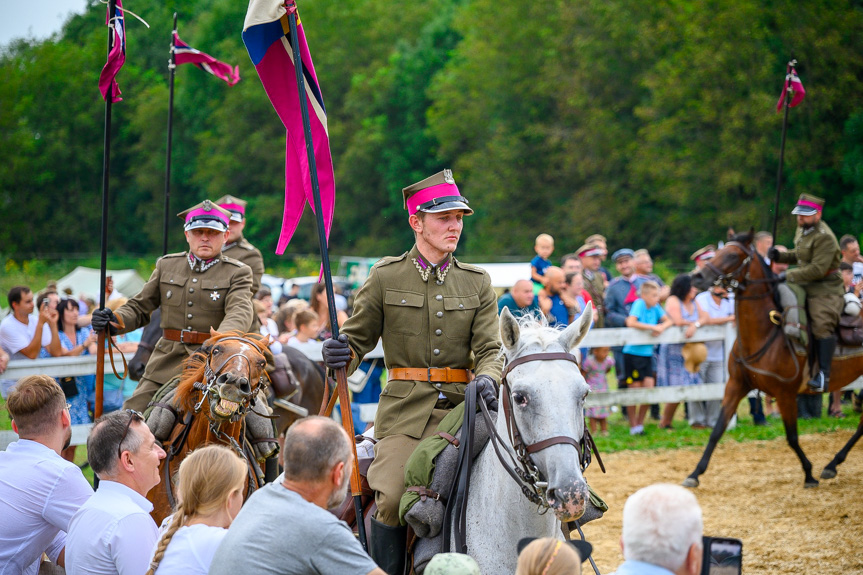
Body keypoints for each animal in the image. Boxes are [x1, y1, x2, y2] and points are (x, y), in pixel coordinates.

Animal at [684, 232, 860, 488]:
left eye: (732, 255)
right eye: (717, 252)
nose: (697, 276)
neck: (765, 335)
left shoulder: (785, 394)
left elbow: (792, 437)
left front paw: (809, 474)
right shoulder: (736, 385)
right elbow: (717, 429)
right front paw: (695, 473)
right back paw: (833, 464)